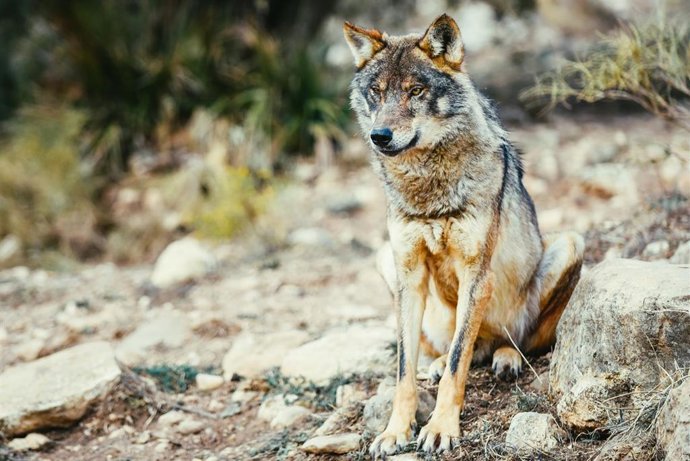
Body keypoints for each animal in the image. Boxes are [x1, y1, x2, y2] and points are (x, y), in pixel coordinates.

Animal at [343, 14, 584, 456]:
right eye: (376, 93)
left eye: (416, 91)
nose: (379, 136)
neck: (427, 188)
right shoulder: (409, 275)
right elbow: (405, 370)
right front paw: (395, 431)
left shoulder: (477, 273)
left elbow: (459, 363)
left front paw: (440, 429)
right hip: (386, 262)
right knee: (450, 349)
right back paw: (441, 363)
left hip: (570, 244)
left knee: (517, 342)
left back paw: (505, 357)